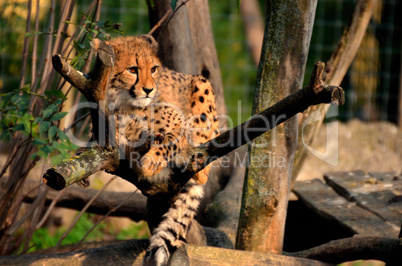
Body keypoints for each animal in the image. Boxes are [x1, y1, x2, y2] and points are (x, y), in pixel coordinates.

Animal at [92, 34, 220, 264]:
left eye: (153, 69)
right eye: (132, 69)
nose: (149, 89)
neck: (125, 105)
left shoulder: (180, 126)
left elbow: (171, 141)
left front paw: (152, 161)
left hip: (201, 85)